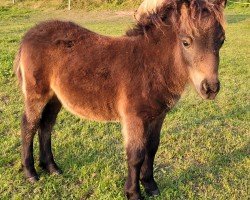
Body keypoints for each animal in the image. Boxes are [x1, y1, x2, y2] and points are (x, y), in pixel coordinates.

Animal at [14, 0, 228, 198]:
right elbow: (136, 155)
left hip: (55, 98)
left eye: (222, 41)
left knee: (46, 126)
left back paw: (51, 167)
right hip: (37, 94)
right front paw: (133, 193)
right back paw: (31, 172)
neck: (151, 65)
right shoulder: (135, 117)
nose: (210, 88)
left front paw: (150, 186)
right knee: (29, 125)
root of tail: (29, 35)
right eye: (186, 42)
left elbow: (152, 148)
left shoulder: (158, 116)